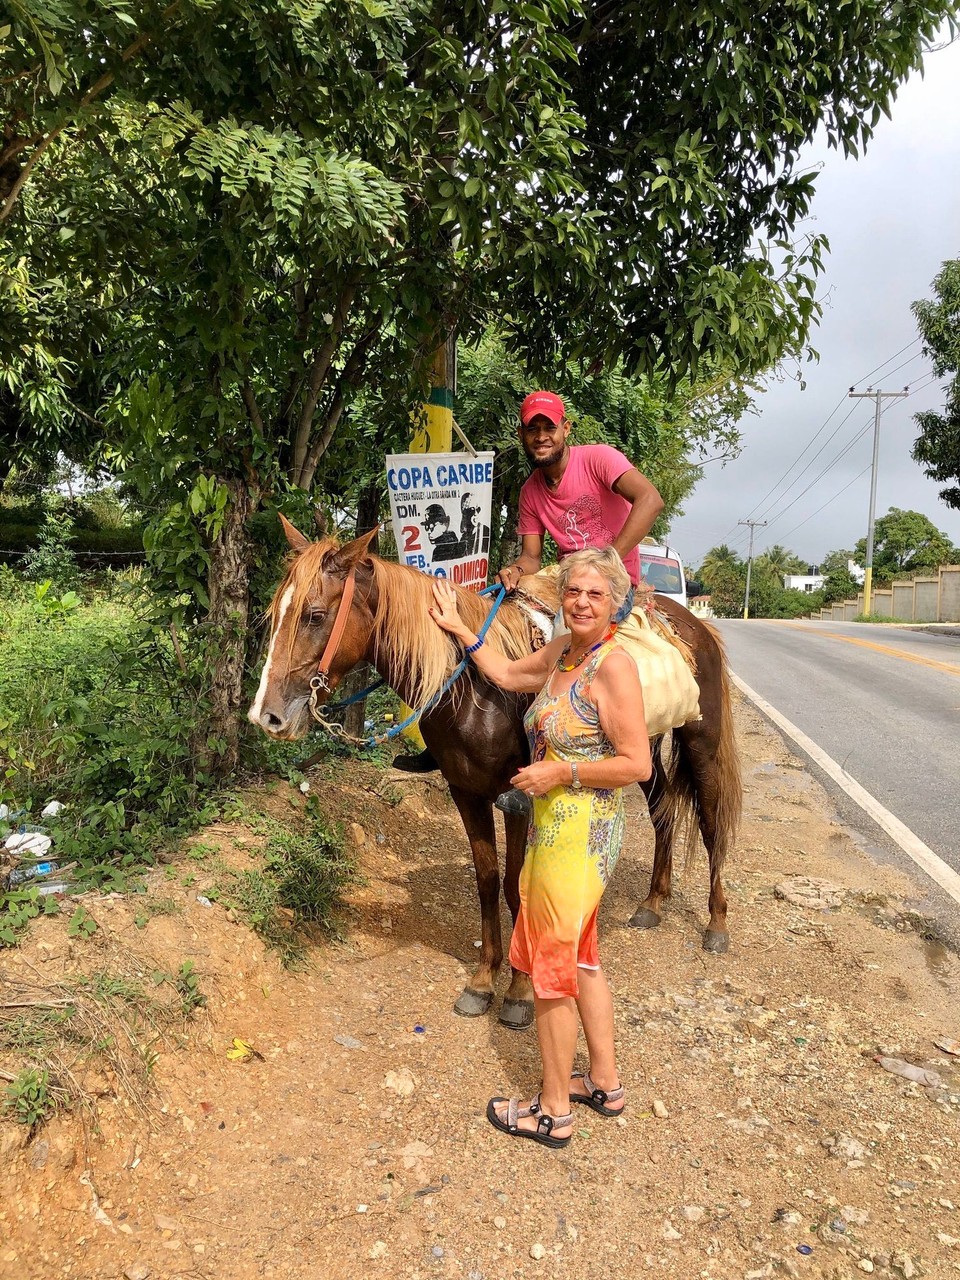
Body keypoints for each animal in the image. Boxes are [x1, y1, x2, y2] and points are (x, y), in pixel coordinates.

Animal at [248, 514, 742, 1024]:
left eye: (314, 615)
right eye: (276, 614)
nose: (267, 716)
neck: (473, 688)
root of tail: (695, 626)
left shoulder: (520, 799)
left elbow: (516, 885)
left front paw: (520, 990)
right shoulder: (465, 792)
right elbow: (487, 881)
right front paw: (484, 979)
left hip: (701, 742)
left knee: (710, 823)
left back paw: (716, 923)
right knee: (663, 808)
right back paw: (653, 902)